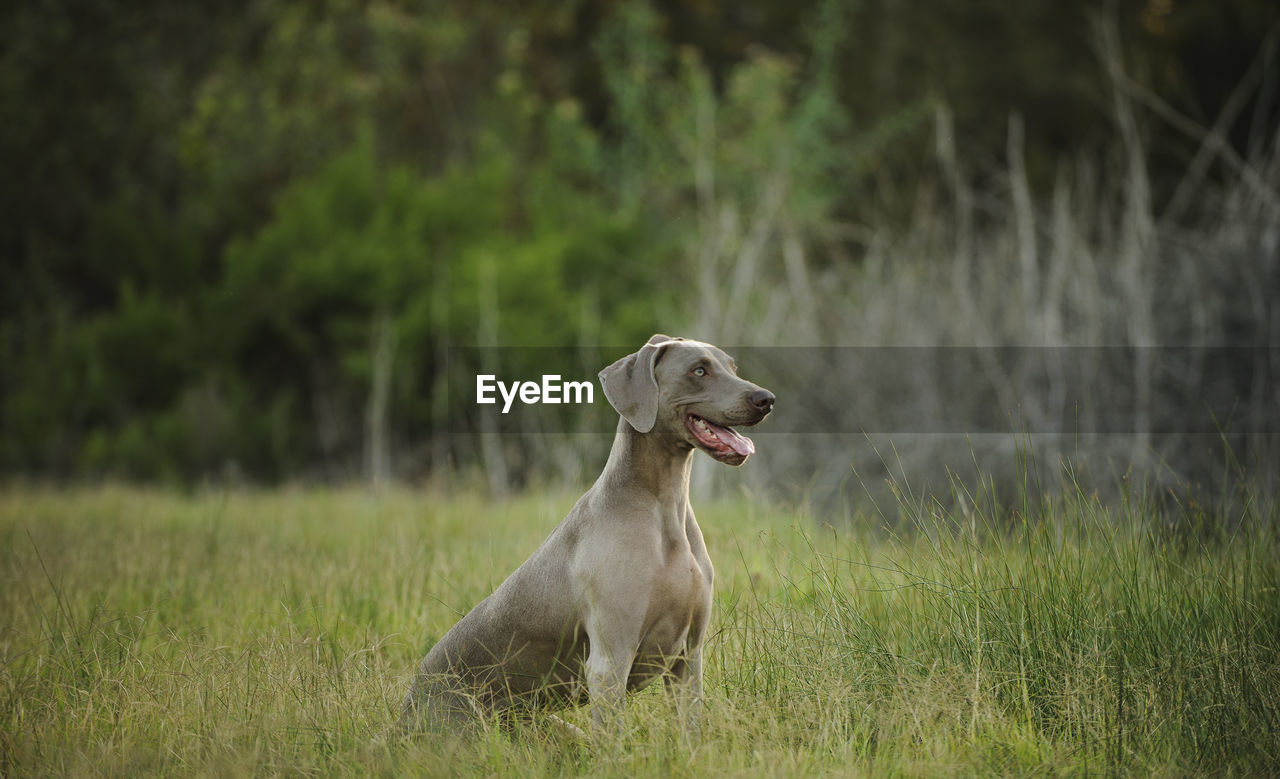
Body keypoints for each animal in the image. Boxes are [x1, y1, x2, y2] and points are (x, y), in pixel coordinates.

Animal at [399, 335, 773, 736]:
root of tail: (405, 706)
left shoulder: (689, 658)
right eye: (699, 370)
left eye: (732, 367)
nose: (766, 398)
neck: (664, 510)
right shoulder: (609, 663)